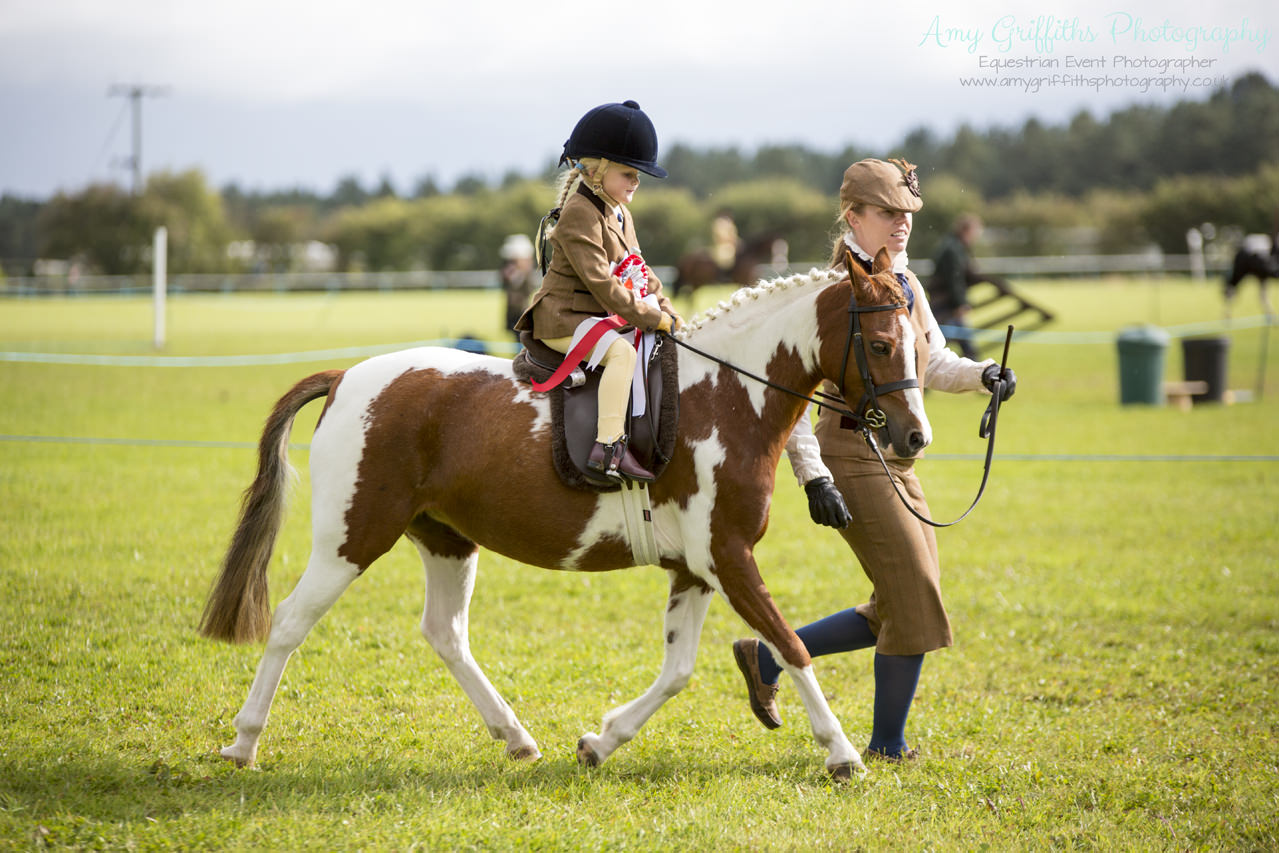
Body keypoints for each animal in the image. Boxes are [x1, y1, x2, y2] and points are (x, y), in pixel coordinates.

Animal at [204, 248, 936, 782]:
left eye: (919, 344)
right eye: (878, 344)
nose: (913, 438)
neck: (727, 396)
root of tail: (346, 377)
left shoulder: (698, 567)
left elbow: (678, 670)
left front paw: (600, 741)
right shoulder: (728, 558)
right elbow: (790, 644)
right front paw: (842, 753)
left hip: (446, 539)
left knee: (445, 632)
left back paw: (516, 737)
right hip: (350, 539)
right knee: (289, 622)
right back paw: (243, 743)